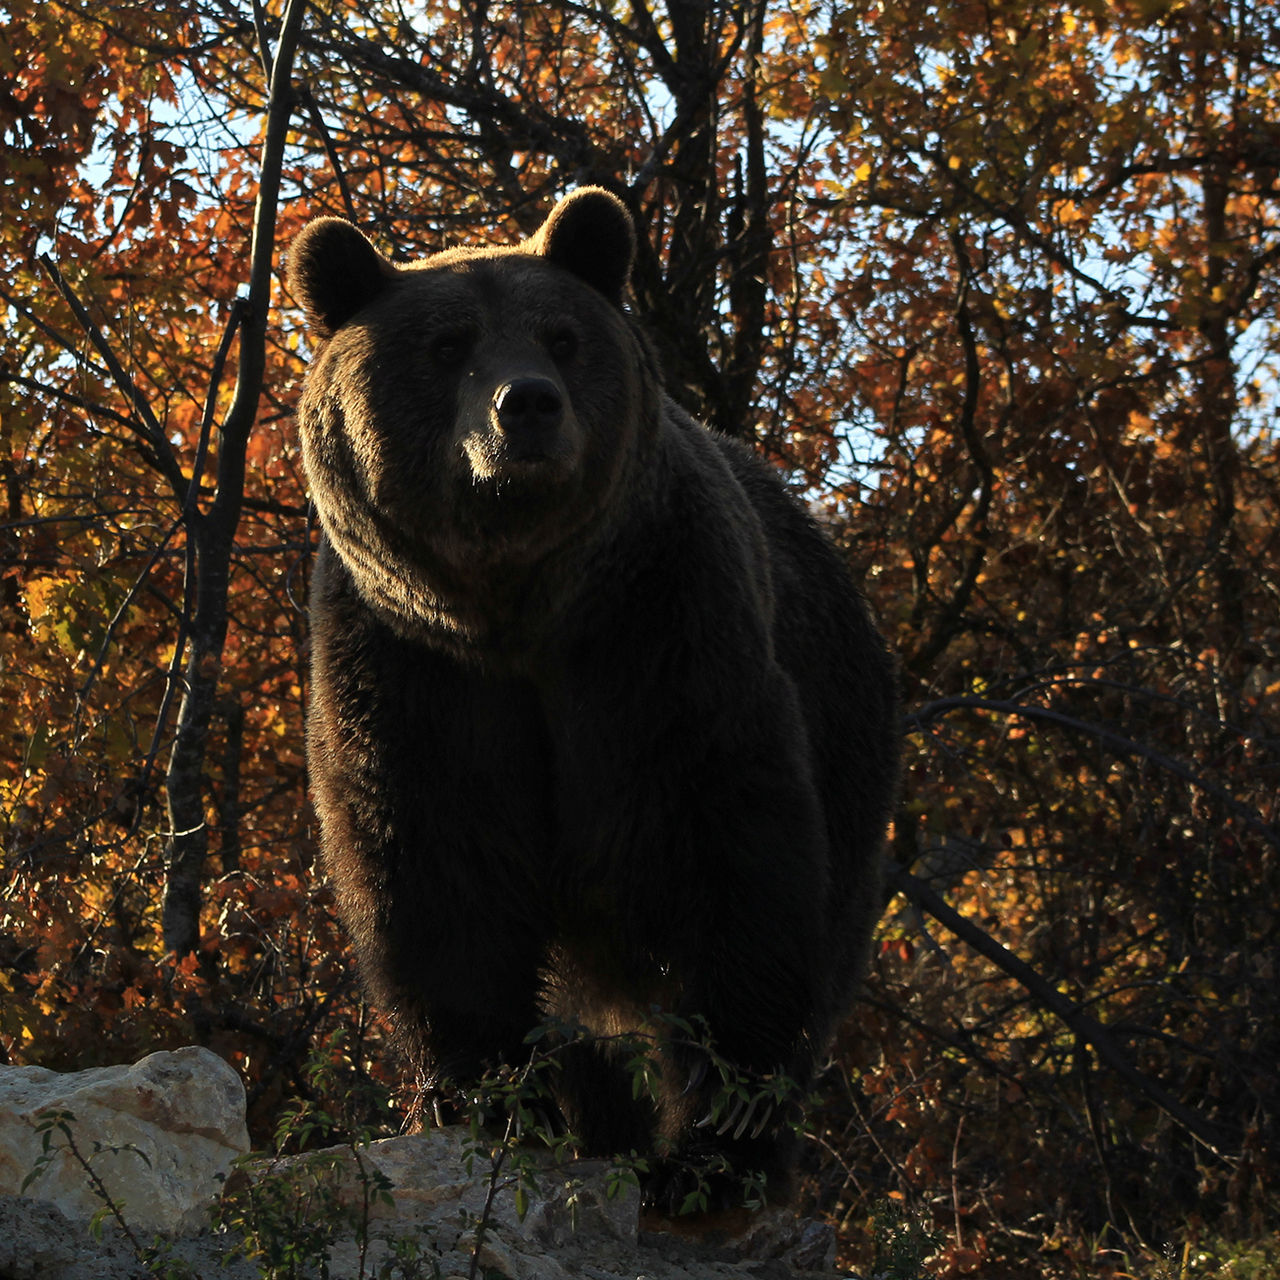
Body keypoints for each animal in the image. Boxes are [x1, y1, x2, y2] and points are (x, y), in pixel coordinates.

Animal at [286, 189, 896, 1208]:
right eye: (447, 345)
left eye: (562, 337)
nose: (526, 404)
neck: (514, 610)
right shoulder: (412, 669)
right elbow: (438, 866)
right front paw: (490, 1103)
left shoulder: (657, 636)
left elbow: (726, 845)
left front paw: (713, 1149)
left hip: (852, 760)